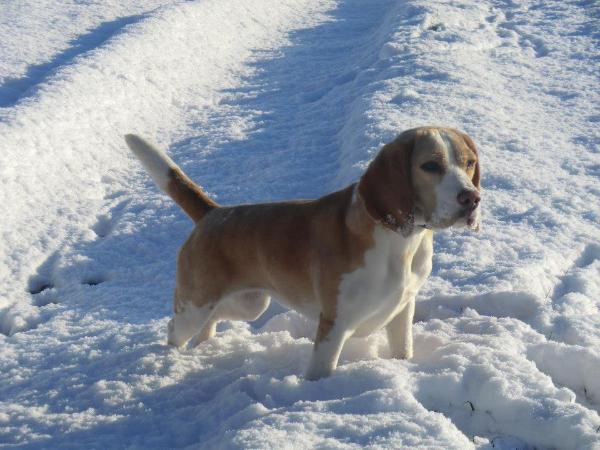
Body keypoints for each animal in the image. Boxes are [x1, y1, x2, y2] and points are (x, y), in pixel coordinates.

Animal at [124, 126, 480, 380]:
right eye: (430, 166)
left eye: (469, 163)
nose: (471, 198)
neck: (400, 241)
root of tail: (213, 213)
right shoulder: (334, 324)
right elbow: (320, 372)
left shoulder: (401, 310)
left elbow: (402, 350)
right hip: (195, 305)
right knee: (174, 329)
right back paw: (171, 360)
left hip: (249, 304)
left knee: (212, 320)